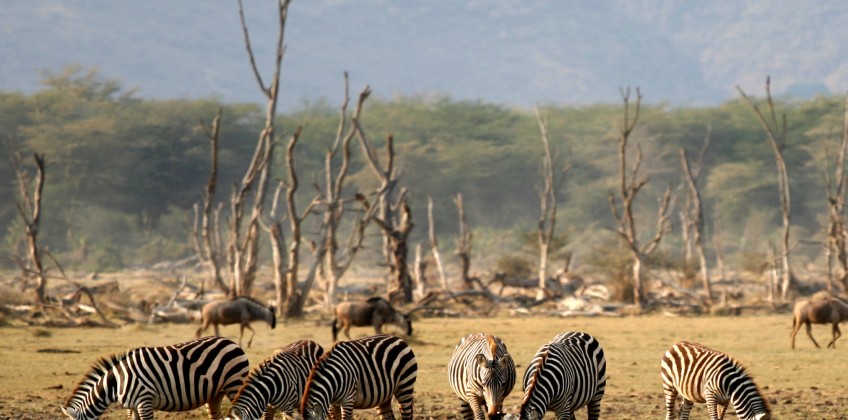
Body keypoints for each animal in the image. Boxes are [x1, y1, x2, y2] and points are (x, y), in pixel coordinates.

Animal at [61, 334, 250, 420]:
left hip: (235, 384)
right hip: (216, 393)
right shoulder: (132, 406)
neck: (117, 382)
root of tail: (231, 342)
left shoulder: (144, 401)